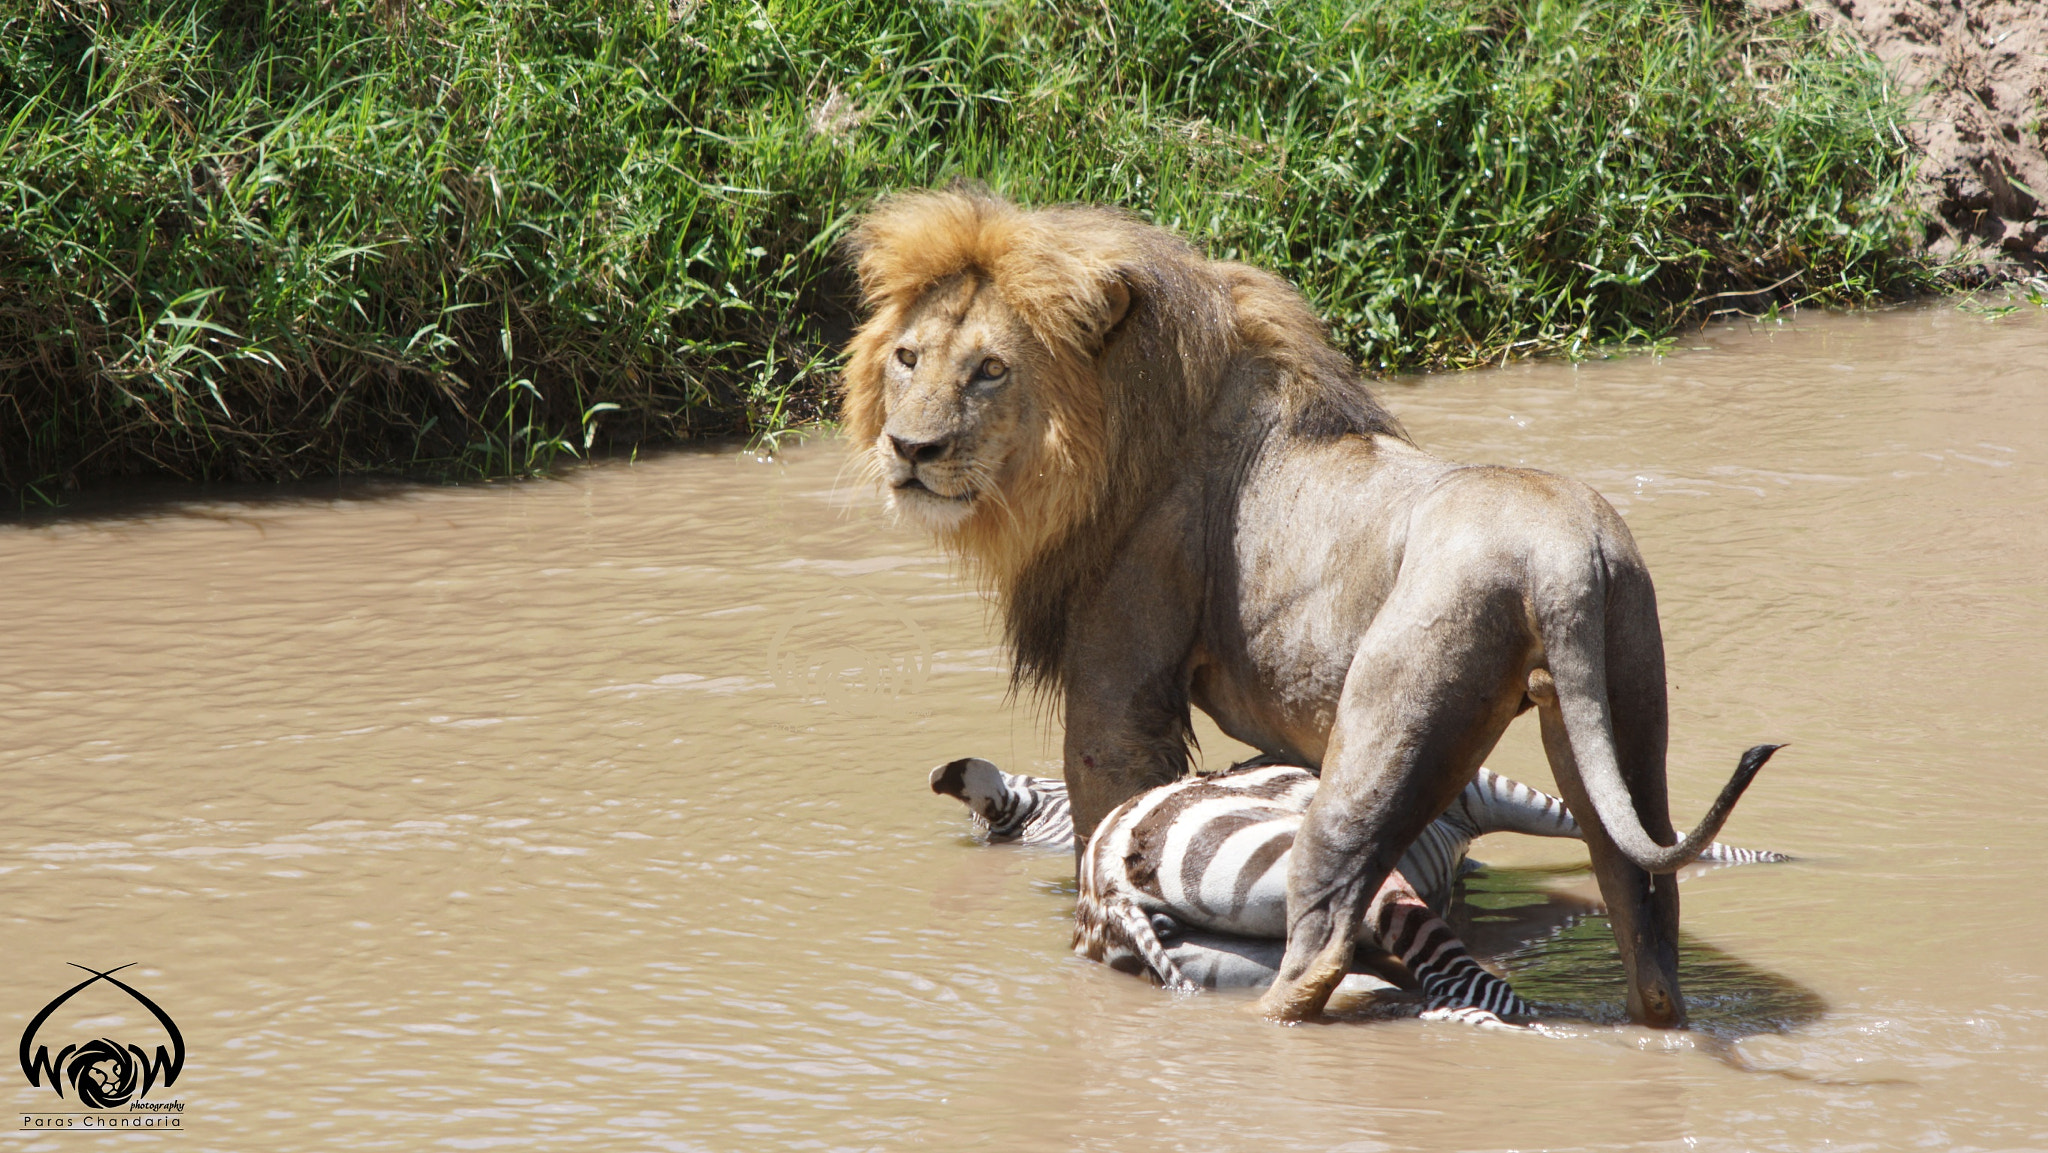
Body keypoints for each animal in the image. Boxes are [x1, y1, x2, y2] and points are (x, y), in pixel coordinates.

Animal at [839, 187, 1776, 1026]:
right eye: (908, 358)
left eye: (990, 370)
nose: (910, 448)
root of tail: (1565, 553)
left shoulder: (1120, 683)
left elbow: (1101, 809)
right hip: (1620, 708)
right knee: (1647, 914)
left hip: (1382, 731)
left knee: (1326, 931)